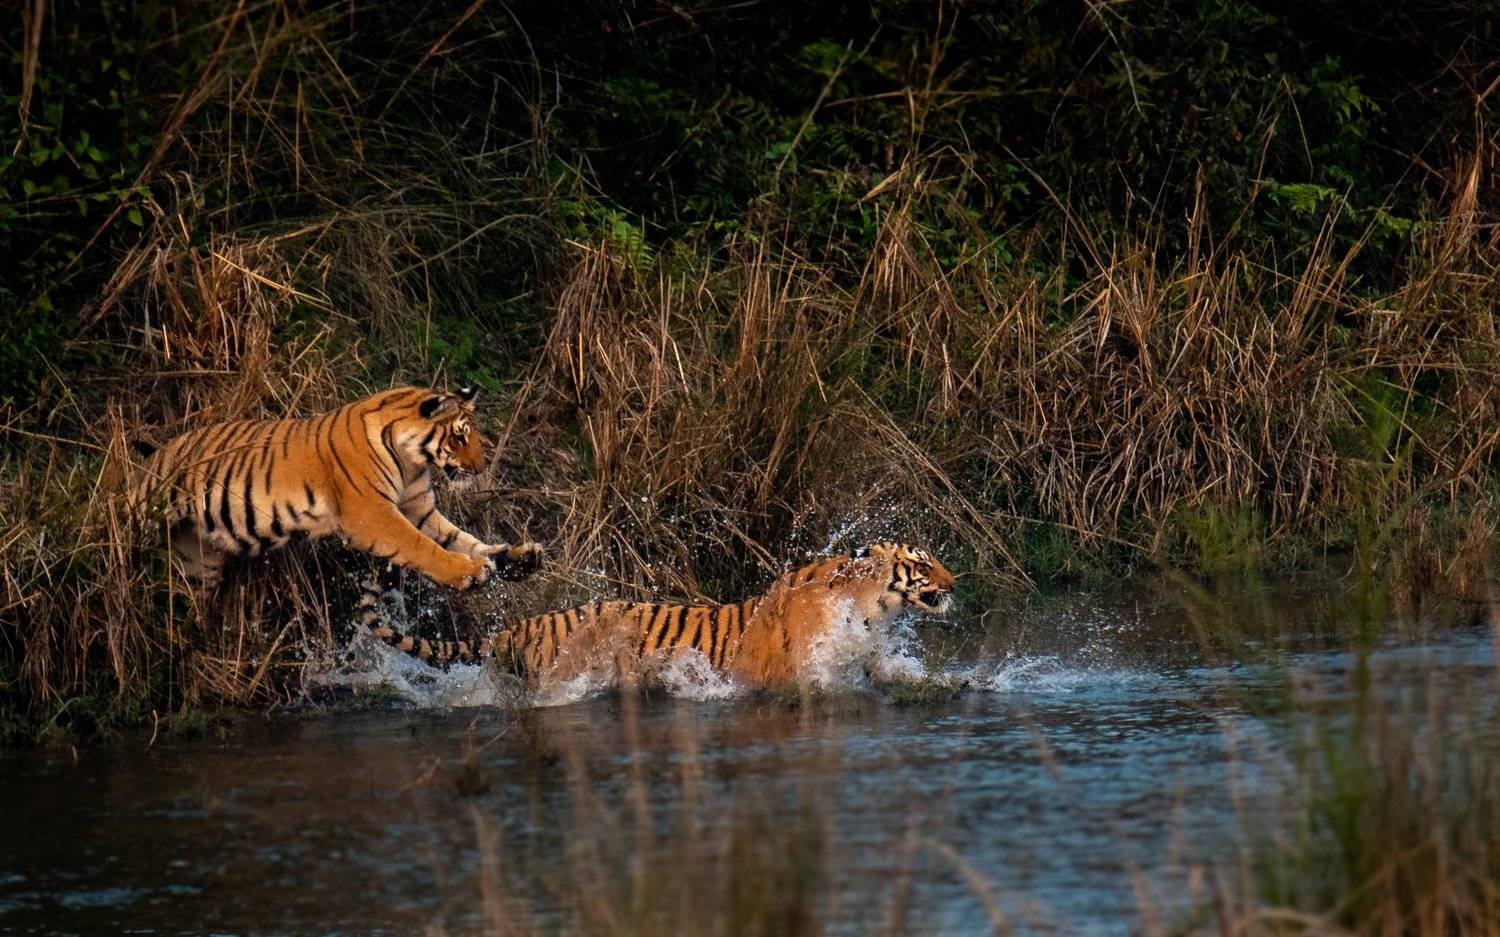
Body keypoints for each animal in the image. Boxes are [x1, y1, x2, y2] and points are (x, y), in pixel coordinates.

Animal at [128, 385, 543, 590]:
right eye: (459, 437)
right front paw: (467, 572)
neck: (412, 460)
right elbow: (422, 546)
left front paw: (516, 556)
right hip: (141, 518)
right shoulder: (372, 514)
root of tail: (154, 456)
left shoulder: (418, 507)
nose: (482, 467)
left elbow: (461, 537)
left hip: (199, 561)